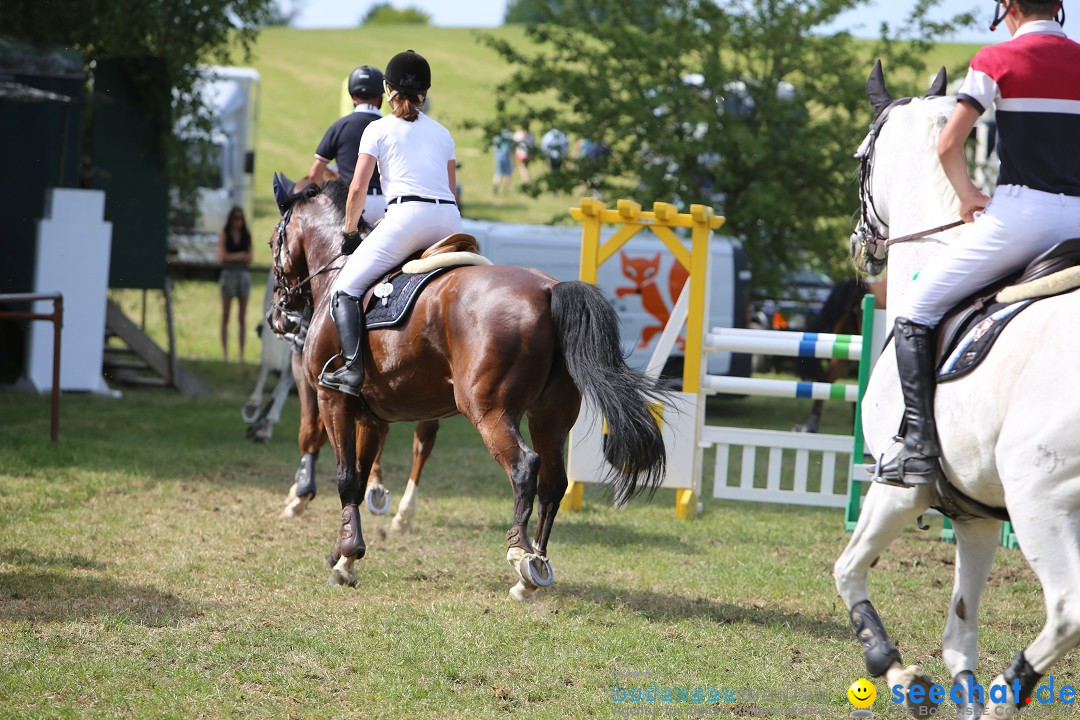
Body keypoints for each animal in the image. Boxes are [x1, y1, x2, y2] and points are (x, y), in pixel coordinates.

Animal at [267, 181, 665, 604]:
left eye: (275, 241)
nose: (278, 317)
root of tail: (549, 289)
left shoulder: (334, 400)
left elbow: (344, 476)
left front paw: (346, 555)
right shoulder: (372, 417)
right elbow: (359, 480)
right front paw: (345, 556)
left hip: (487, 410)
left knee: (525, 466)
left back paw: (519, 555)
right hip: (550, 416)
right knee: (554, 482)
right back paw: (535, 568)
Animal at [833, 63, 1080, 720]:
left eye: (861, 156)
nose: (860, 246)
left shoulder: (900, 490)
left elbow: (847, 570)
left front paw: (900, 675)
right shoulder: (974, 514)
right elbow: (959, 632)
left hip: (1040, 497)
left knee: (1067, 610)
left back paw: (1005, 695)